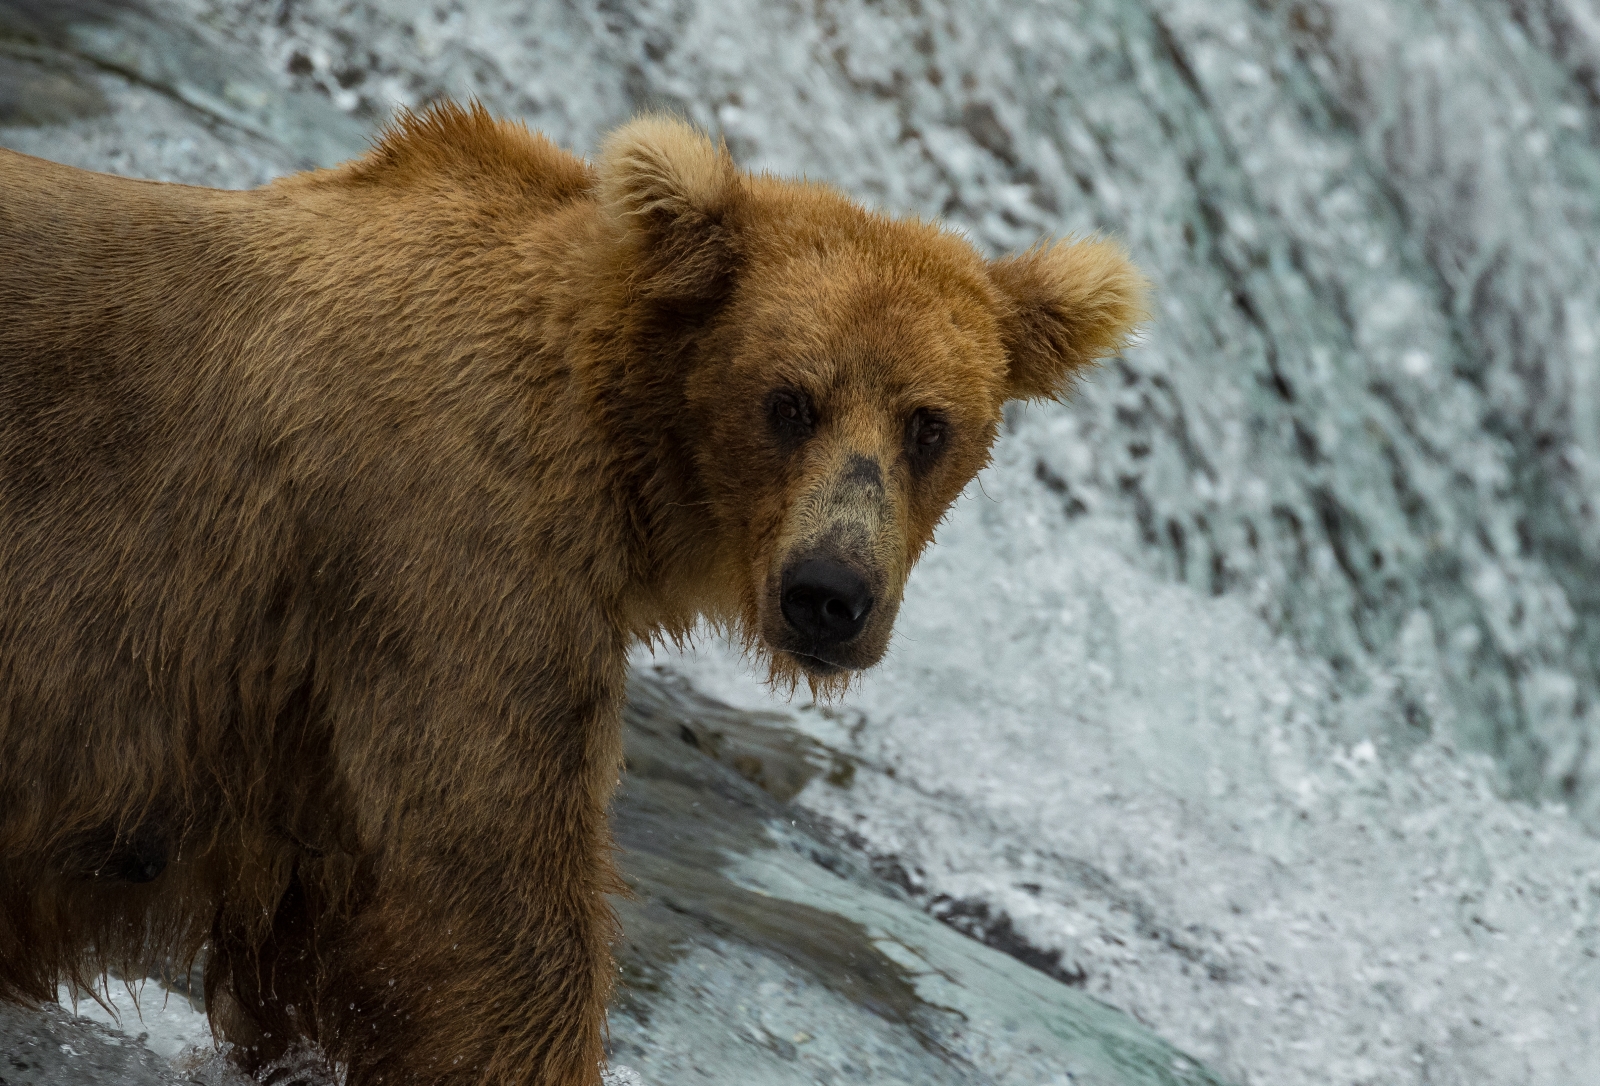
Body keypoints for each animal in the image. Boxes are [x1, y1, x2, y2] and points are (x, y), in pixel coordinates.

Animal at [0, 103, 1152, 1086]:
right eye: (790, 401)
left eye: (928, 424)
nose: (831, 593)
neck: (623, 448)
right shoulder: (452, 558)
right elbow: (488, 902)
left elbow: (319, 939)